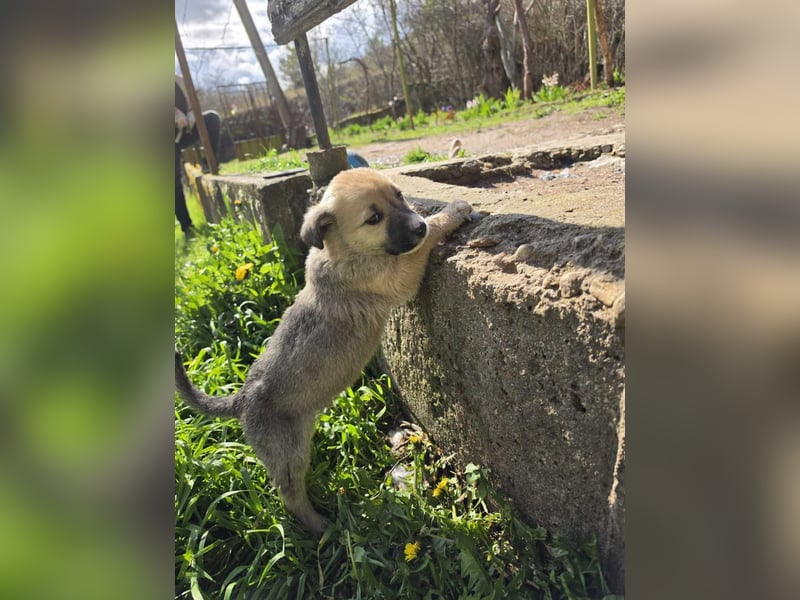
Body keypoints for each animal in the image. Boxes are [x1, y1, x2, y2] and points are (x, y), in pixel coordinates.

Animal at [175, 168, 473, 533]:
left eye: (400, 195)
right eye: (374, 218)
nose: (416, 224)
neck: (343, 251)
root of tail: (241, 401)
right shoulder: (397, 273)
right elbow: (425, 242)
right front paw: (451, 213)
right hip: (288, 455)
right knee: (290, 496)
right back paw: (319, 525)